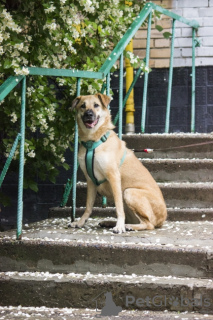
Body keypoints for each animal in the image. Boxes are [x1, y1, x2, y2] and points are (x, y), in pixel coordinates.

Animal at [69, 92, 167, 232]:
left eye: (96, 105)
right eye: (83, 106)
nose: (89, 114)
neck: (93, 142)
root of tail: (163, 218)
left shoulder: (114, 176)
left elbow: (118, 207)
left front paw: (119, 226)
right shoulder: (90, 180)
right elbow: (88, 207)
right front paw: (80, 222)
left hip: (129, 192)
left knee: (149, 224)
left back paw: (128, 226)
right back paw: (110, 222)